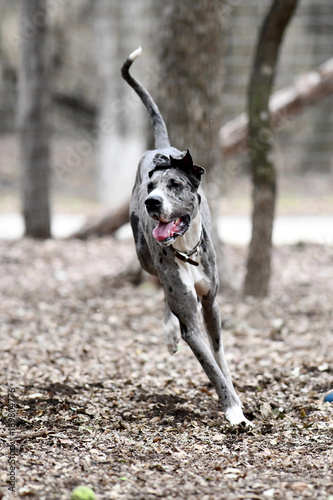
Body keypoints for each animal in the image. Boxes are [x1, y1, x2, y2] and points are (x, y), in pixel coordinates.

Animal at [121, 47, 249, 426]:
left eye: (175, 185)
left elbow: (220, 357)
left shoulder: (211, 305)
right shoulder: (191, 321)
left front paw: (236, 398)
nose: (151, 202)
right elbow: (210, 366)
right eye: (151, 186)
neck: (185, 250)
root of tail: (162, 149)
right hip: (144, 257)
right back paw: (168, 329)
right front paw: (234, 412)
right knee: (162, 290)